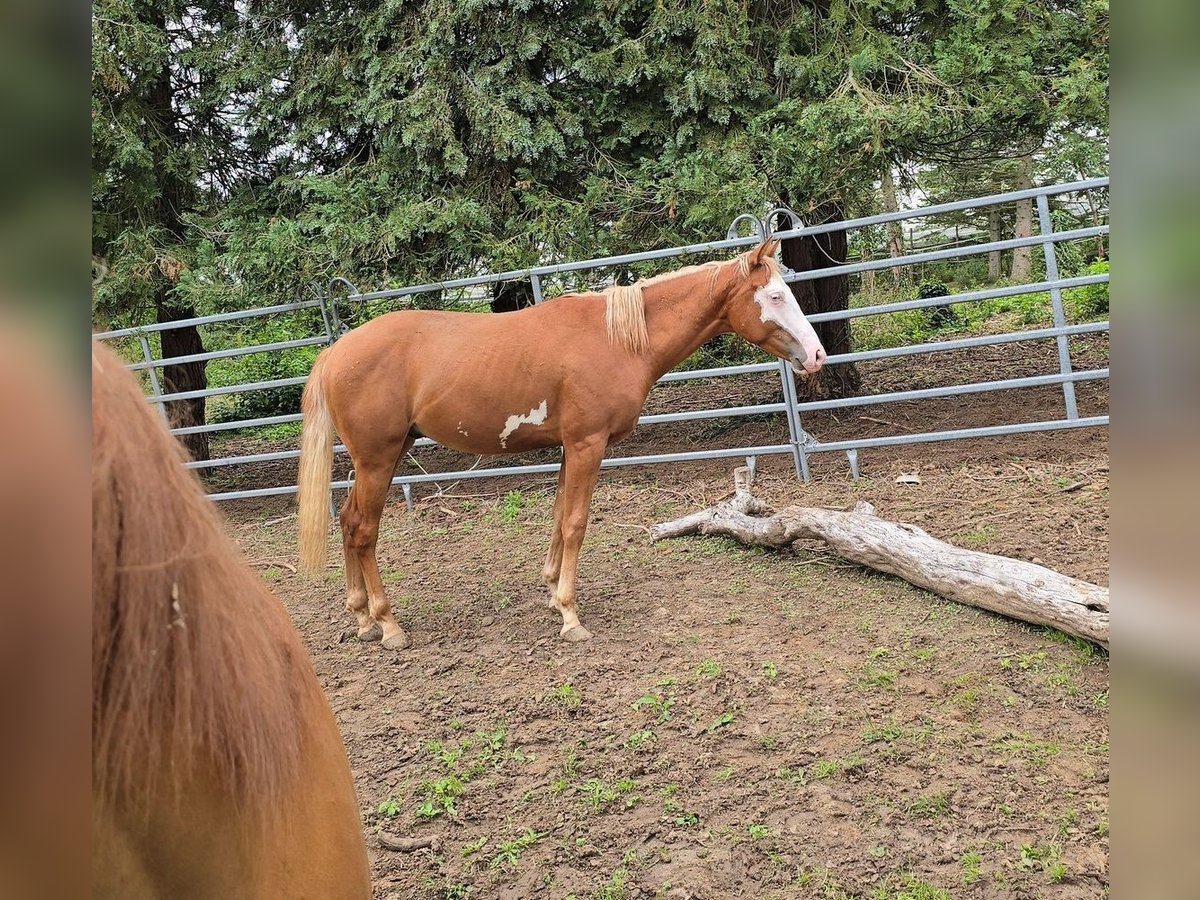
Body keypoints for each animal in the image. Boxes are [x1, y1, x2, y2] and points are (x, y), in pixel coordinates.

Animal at [296, 237, 825, 648]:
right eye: (775, 295)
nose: (816, 355)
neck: (616, 339)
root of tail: (334, 353)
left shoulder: (571, 448)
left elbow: (556, 518)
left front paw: (553, 594)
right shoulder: (588, 445)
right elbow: (575, 523)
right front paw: (571, 616)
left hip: (378, 459)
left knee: (348, 522)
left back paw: (362, 619)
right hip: (378, 459)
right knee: (364, 531)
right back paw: (388, 625)